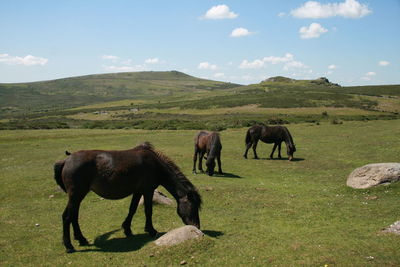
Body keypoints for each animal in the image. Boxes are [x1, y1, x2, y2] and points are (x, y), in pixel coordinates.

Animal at [53, 142, 202, 253]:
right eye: (193, 207)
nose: (196, 227)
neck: (155, 165)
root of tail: (66, 160)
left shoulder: (138, 191)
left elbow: (132, 209)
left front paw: (127, 229)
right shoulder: (148, 191)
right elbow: (148, 211)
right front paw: (151, 230)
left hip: (78, 196)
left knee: (73, 216)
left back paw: (81, 239)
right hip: (76, 195)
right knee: (67, 217)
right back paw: (69, 246)